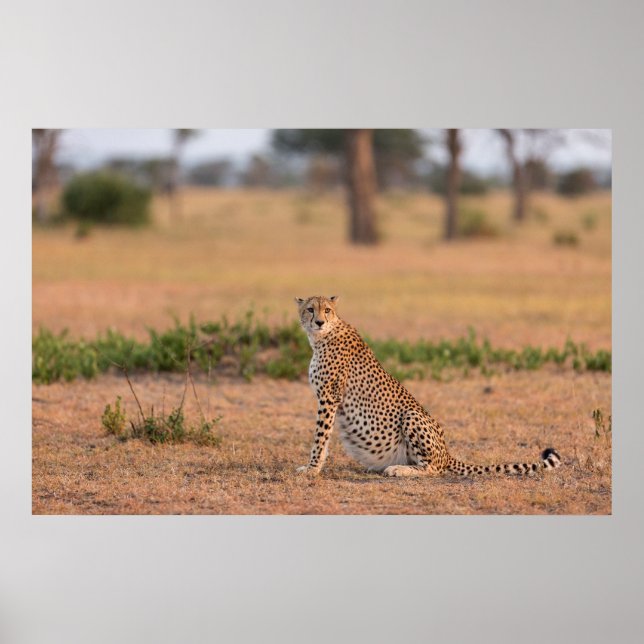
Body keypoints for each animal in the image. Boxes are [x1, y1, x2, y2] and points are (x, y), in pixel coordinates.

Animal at [294, 295, 561, 477]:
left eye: (327, 310)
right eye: (310, 309)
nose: (319, 322)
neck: (322, 337)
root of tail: (448, 453)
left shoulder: (329, 397)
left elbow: (320, 437)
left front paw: (312, 469)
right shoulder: (328, 399)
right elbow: (324, 438)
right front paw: (313, 467)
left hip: (412, 415)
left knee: (433, 468)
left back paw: (399, 470)